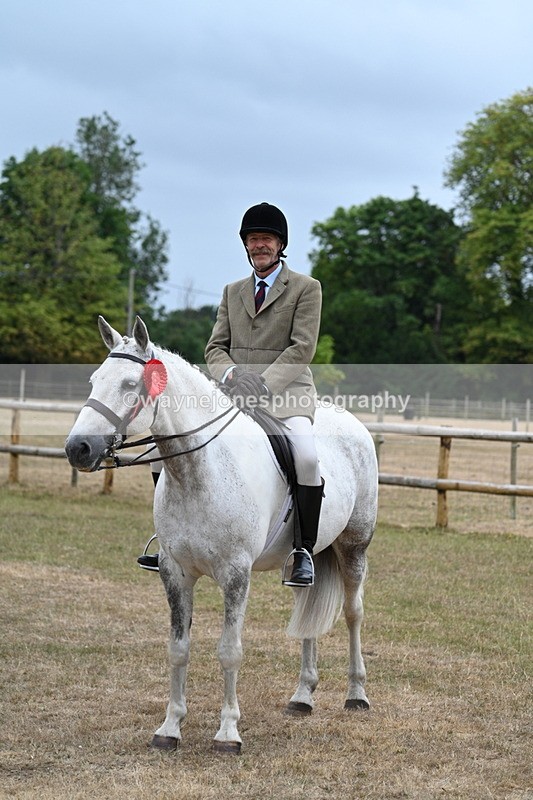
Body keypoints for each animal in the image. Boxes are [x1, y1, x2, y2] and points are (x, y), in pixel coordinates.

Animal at [65, 316, 378, 753]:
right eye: (94, 380)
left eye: (130, 384)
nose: (78, 448)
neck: (198, 472)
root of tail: (350, 421)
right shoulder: (175, 573)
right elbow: (178, 648)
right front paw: (170, 727)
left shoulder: (235, 574)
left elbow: (229, 650)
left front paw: (228, 732)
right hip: (308, 555)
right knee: (307, 610)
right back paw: (302, 697)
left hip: (354, 547)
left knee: (353, 612)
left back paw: (356, 695)